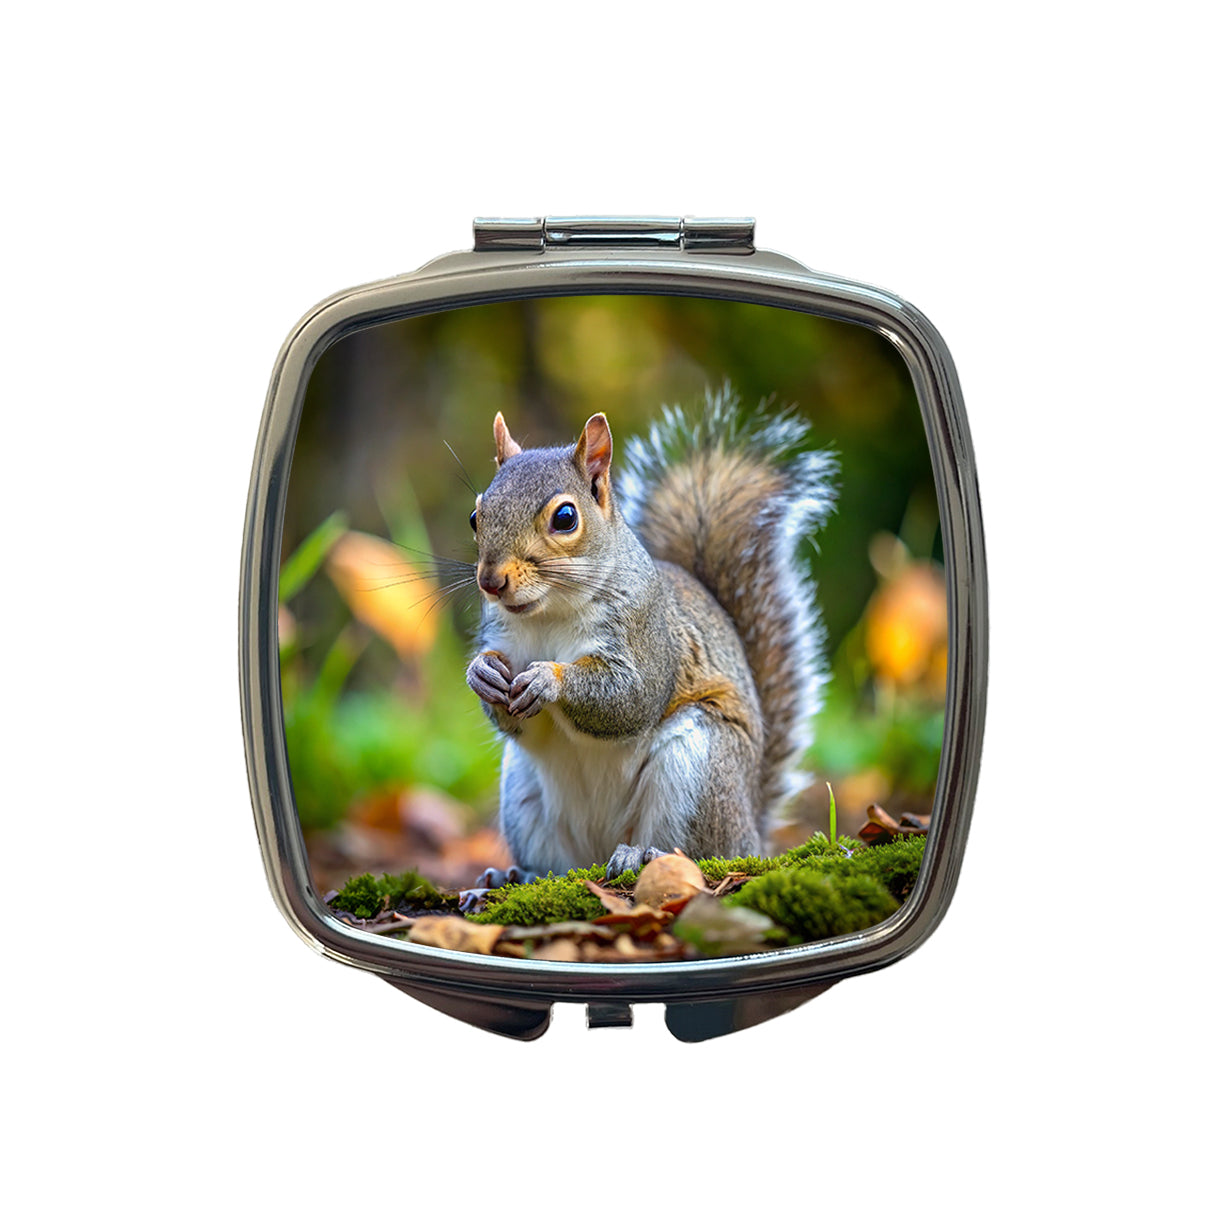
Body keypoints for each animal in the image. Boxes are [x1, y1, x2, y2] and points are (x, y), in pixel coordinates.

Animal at [464, 385, 837, 884]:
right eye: (475, 516)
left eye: (565, 518)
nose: (490, 581)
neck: (548, 614)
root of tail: (751, 832)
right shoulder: (503, 638)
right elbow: (511, 715)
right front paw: (480, 672)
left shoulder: (647, 636)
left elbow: (631, 697)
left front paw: (549, 679)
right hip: (522, 792)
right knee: (555, 865)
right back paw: (512, 877)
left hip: (698, 767)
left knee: (698, 851)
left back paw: (641, 856)